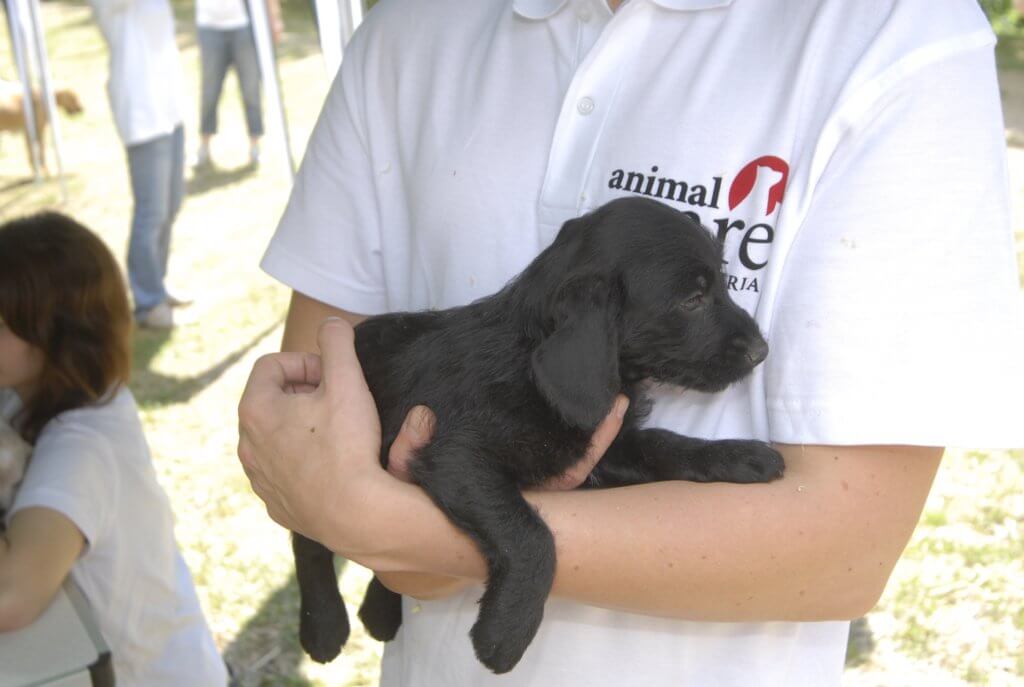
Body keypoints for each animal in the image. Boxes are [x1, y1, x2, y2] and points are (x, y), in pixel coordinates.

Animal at [293, 197, 785, 674]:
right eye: (693, 299)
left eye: (721, 283)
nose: (762, 351)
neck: (526, 357)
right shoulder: (457, 456)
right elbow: (531, 536)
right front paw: (505, 634)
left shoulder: (605, 450)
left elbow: (666, 443)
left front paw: (739, 455)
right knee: (308, 539)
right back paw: (324, 626)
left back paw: (379, 610)